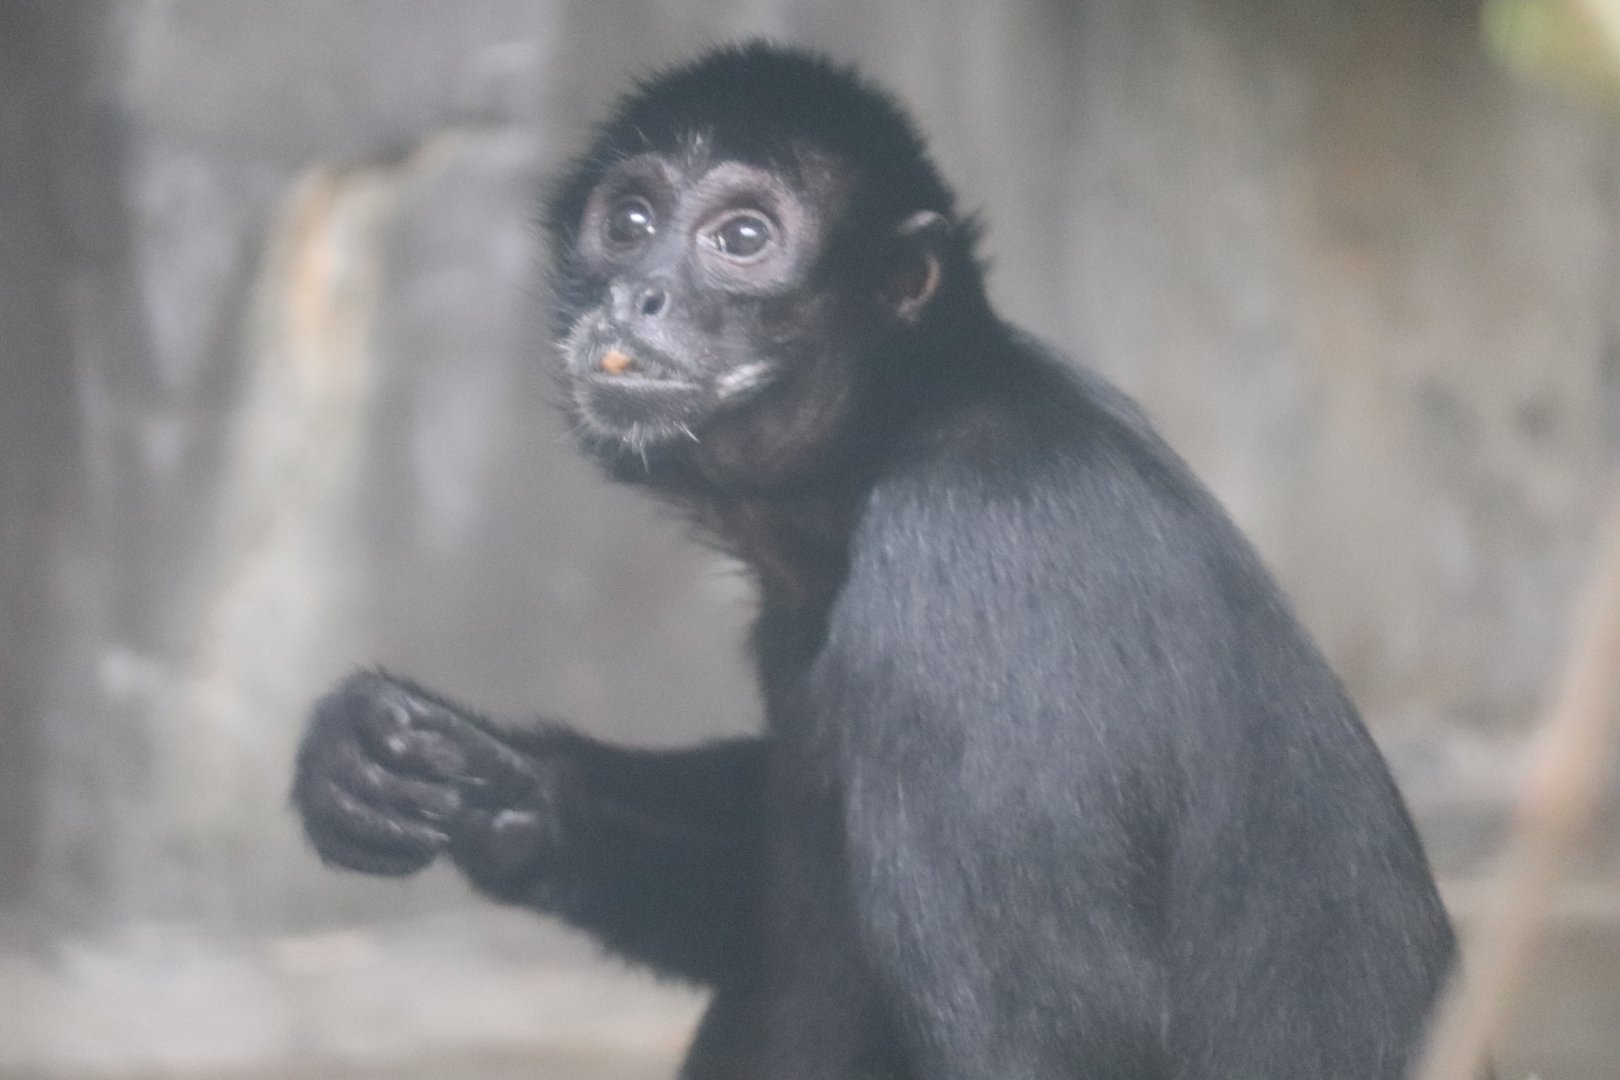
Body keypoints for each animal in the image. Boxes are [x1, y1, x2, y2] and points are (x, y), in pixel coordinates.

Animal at [292, 43, 1459, 1080]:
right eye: (628, 223)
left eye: (743, 237)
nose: (640, 296)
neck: (911, 420)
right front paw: (415, 766)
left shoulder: (970, 558)